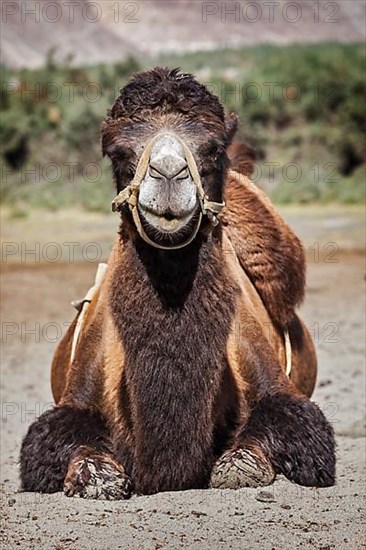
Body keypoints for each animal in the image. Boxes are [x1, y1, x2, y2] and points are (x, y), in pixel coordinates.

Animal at [19, 69, 334, 500]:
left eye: (214, 149)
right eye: (118, 152)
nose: (168, 173)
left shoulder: (282, 394)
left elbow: (255, 455)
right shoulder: (73, 400)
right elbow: (63, 447)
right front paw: (98, 476)